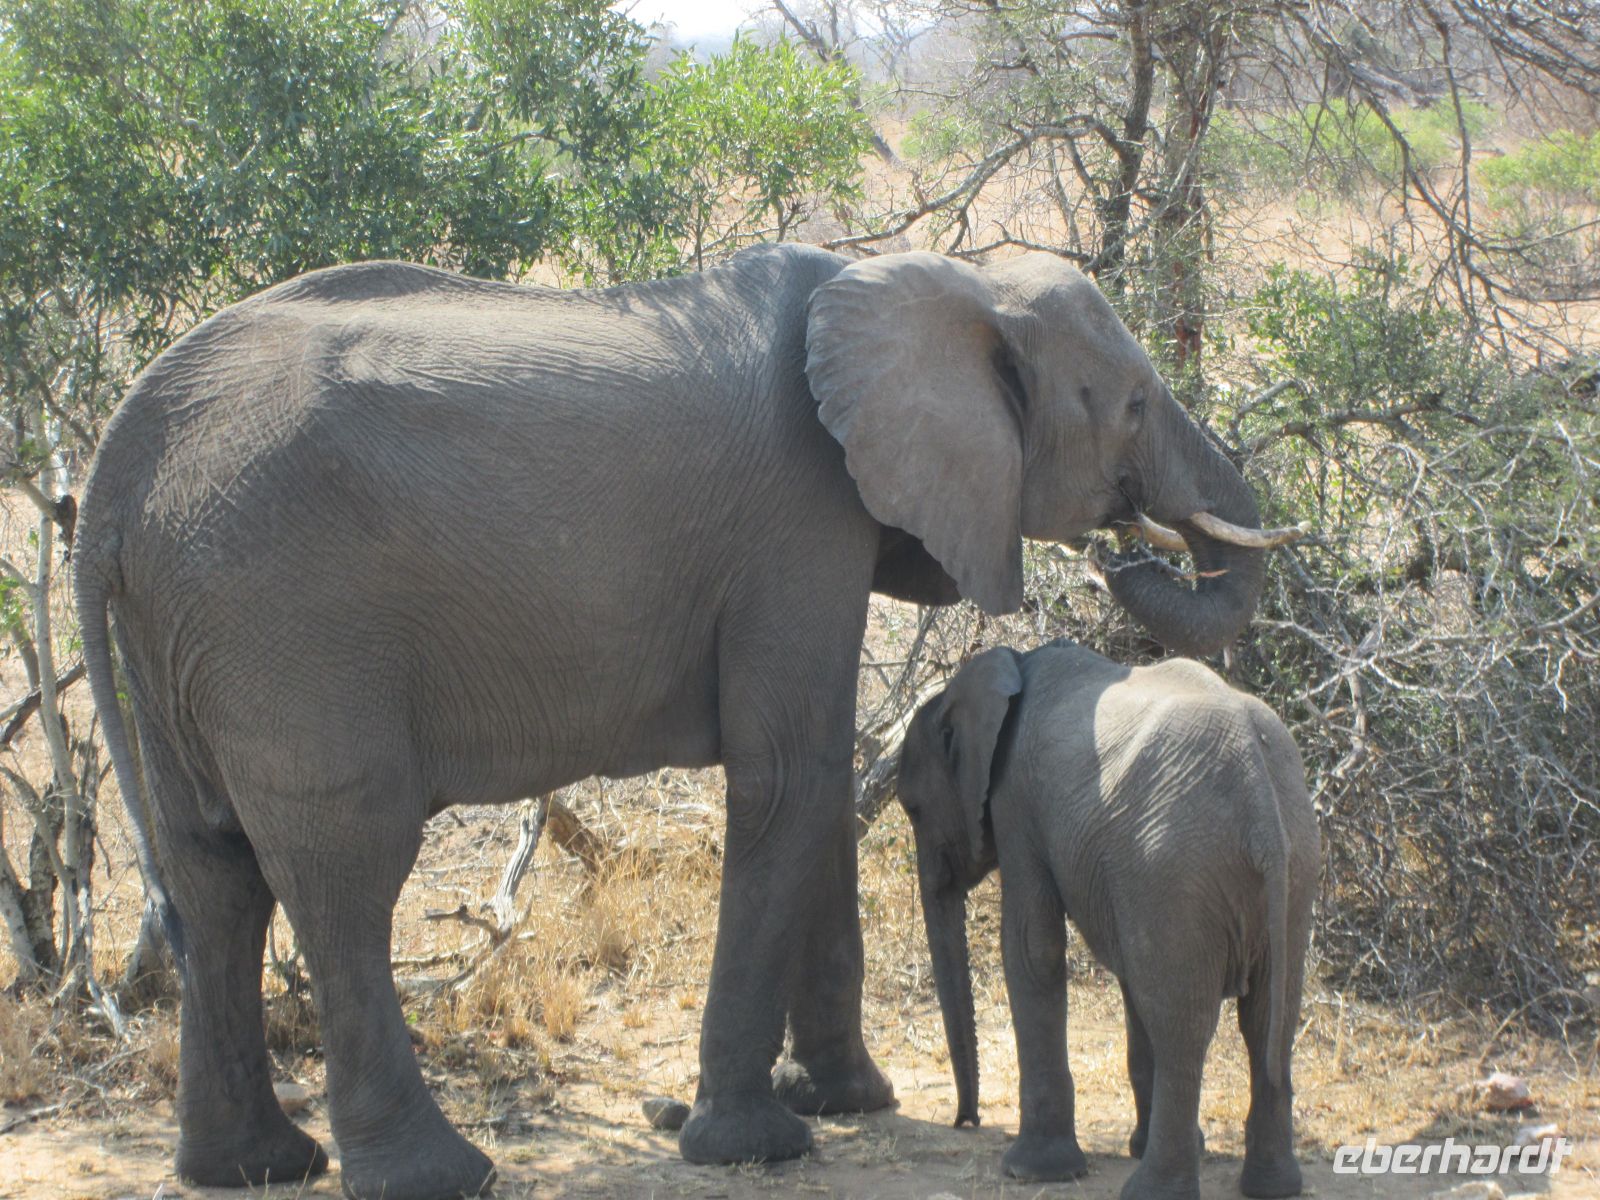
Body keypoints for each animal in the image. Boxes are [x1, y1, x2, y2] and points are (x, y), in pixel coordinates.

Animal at [895, 641, 1319, 1200]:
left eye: (913, 808)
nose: (966, 1120)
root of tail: (1261, 802)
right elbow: (1130, 973)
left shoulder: (1017, 801)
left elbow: (1032, 946)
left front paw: (1032, 1171)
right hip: (1288, 871)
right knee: (1269, 1018)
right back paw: (1273, 1186)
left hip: (1175, 868)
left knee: (1184, 1027)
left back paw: (1152, 1190)